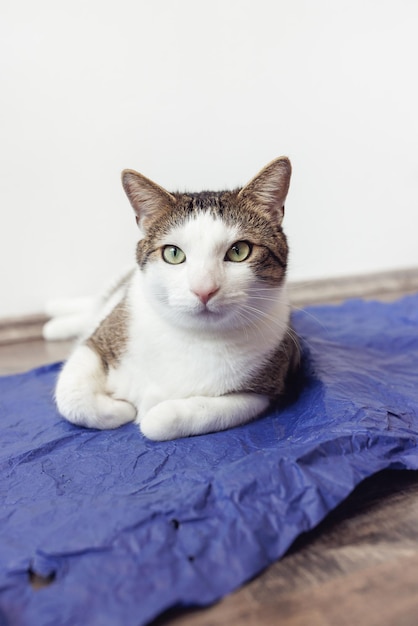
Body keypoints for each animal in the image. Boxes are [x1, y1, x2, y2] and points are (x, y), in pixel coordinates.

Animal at [47, 156, 298, 438]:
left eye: (239, 251)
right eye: (173, 254)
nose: (204, 289)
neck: (194, 336)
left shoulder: (265, 387)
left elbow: (166, 421)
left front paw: (147, 411)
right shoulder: (99, 341)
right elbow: (73, 397)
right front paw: (121, 409)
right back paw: (54, 319)